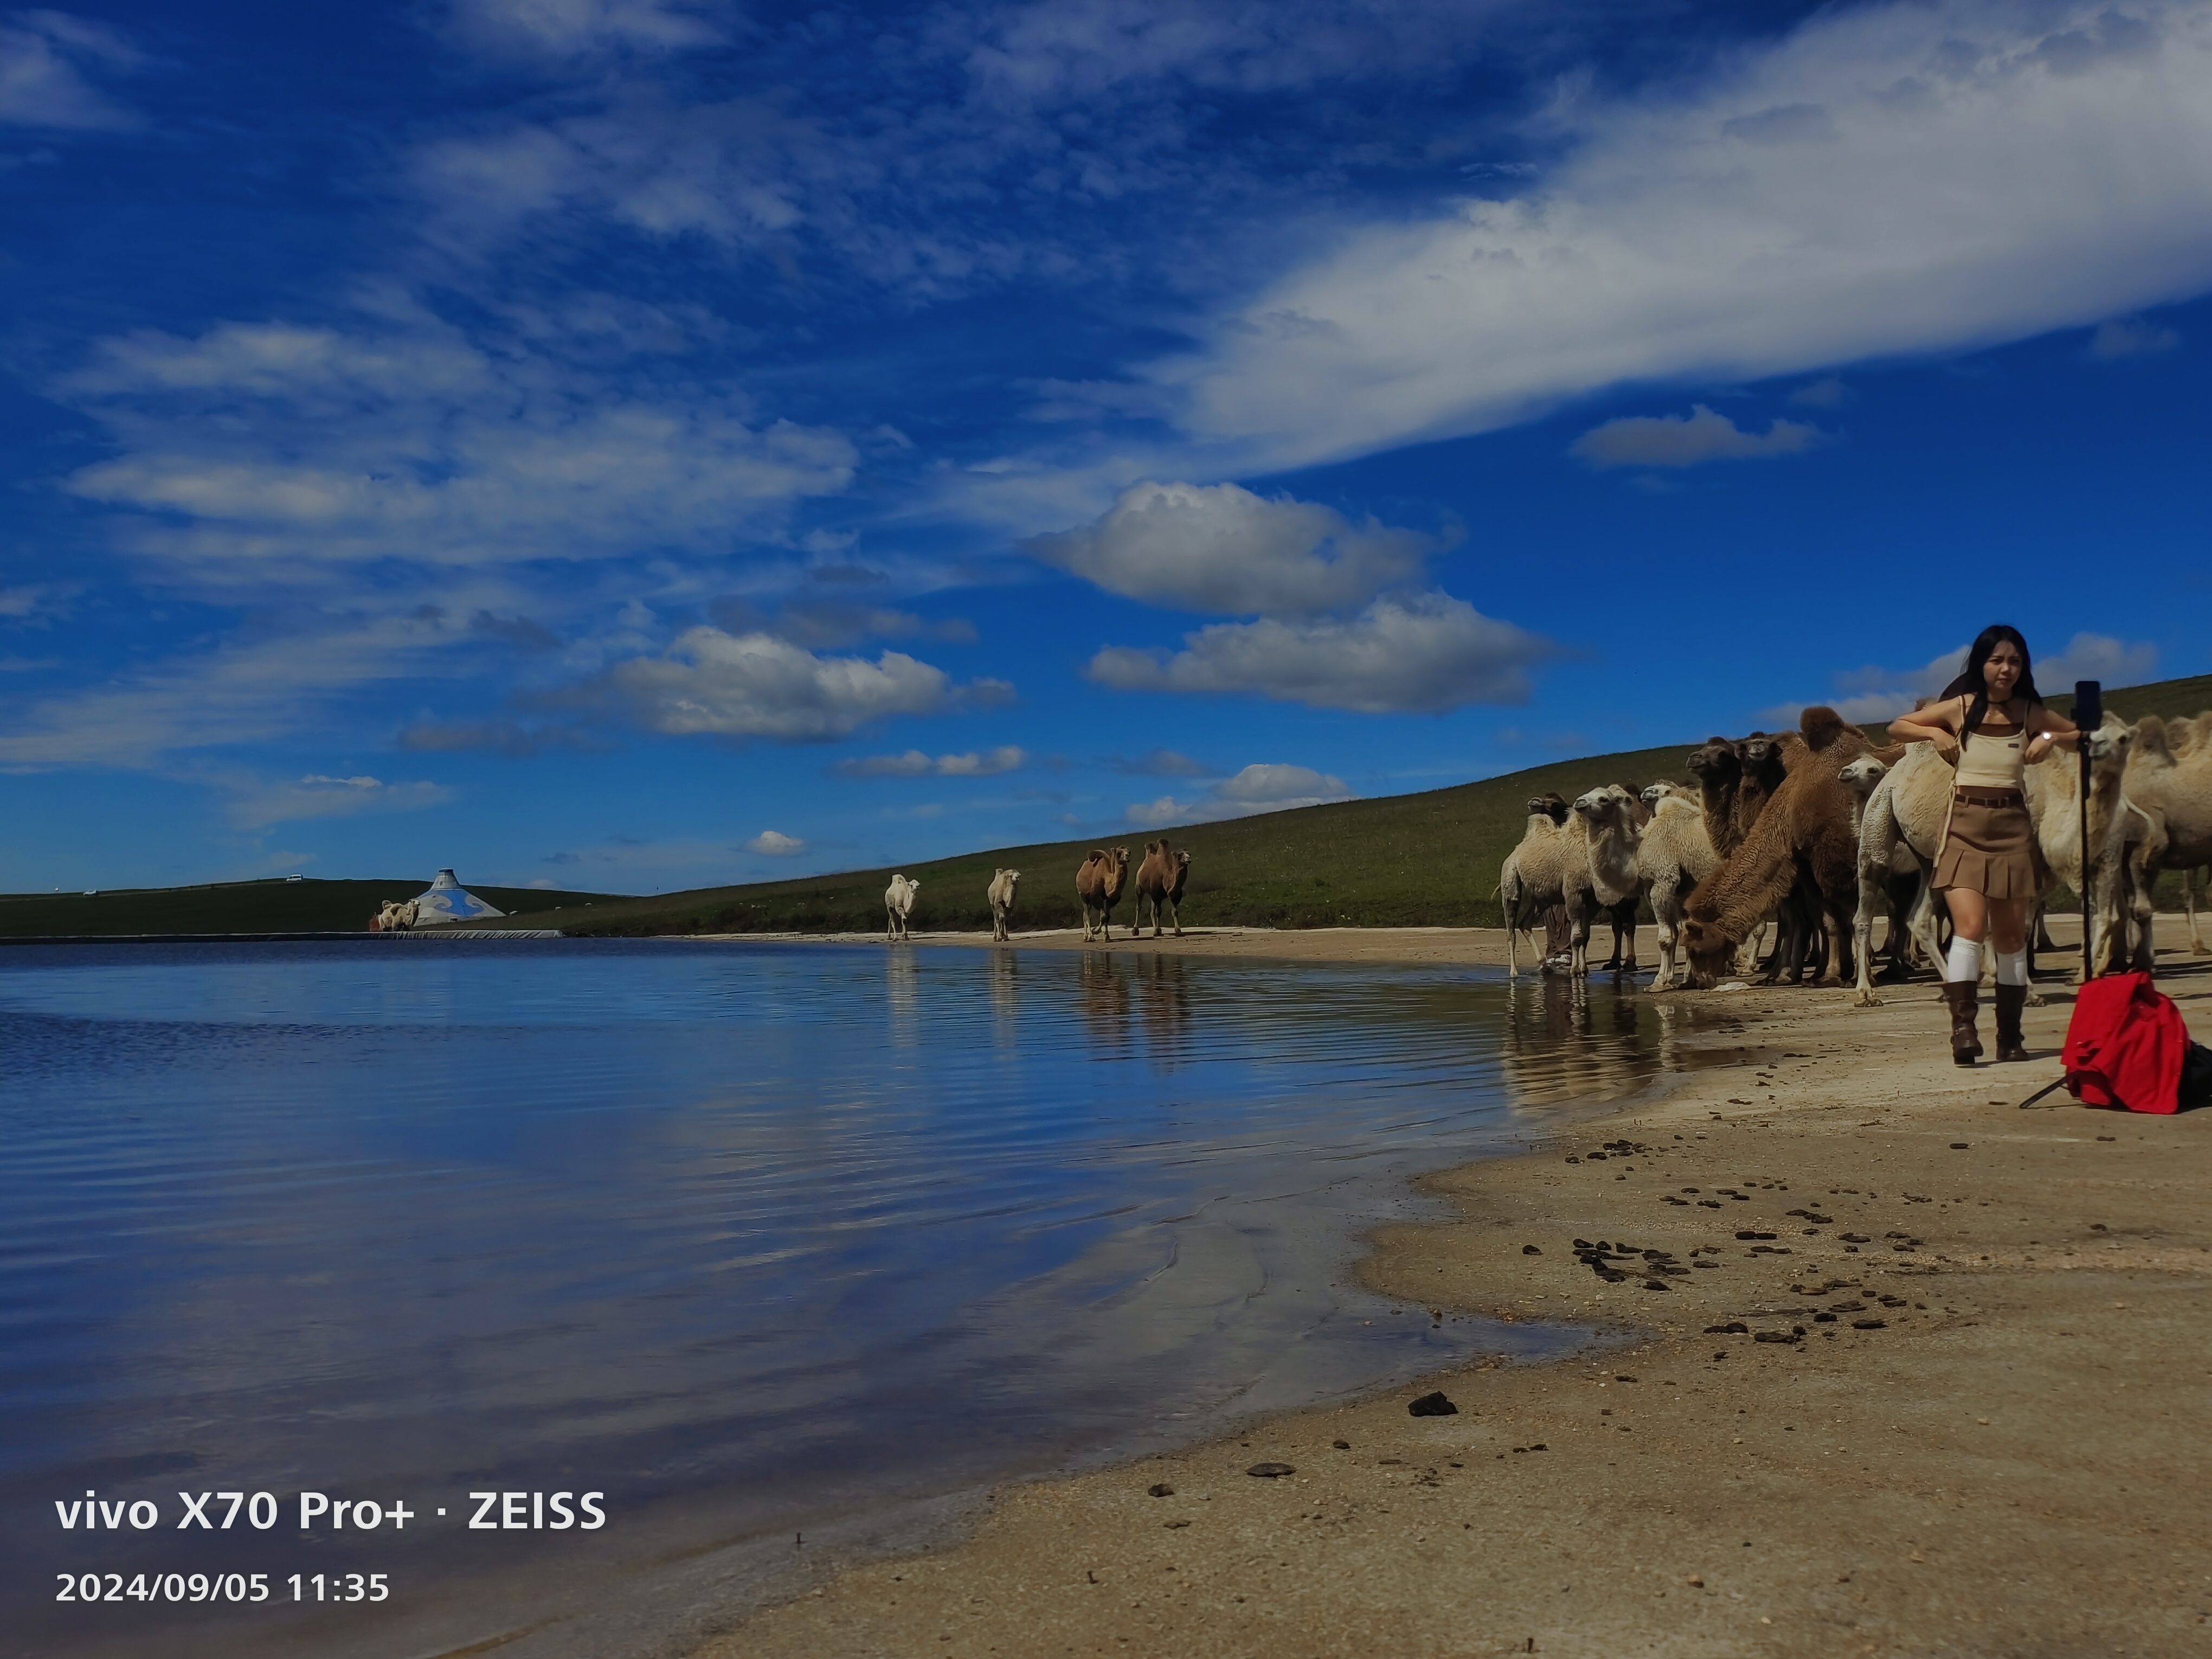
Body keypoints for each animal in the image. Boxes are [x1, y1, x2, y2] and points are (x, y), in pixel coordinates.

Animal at [1141, 836, 1194, 942]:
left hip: (1153, 896)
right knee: (1144, 908)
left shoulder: (1174, 895)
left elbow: (1175, 912)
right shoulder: (1157, 895)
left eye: (1189, 853)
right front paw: (1158, 931)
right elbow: (1159, 913)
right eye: (1180, 854)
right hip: (1141, 888)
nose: (1189, 859)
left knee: (1152, 911)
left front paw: (1178, 931)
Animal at [1681, 703, 1875, 986]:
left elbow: (1835, 919)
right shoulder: (1803, 871)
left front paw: (1830, 973)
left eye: (1694, 948)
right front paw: (1802, 971)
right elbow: (1815, 921)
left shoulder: (1832, 863)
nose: (1701, 981)